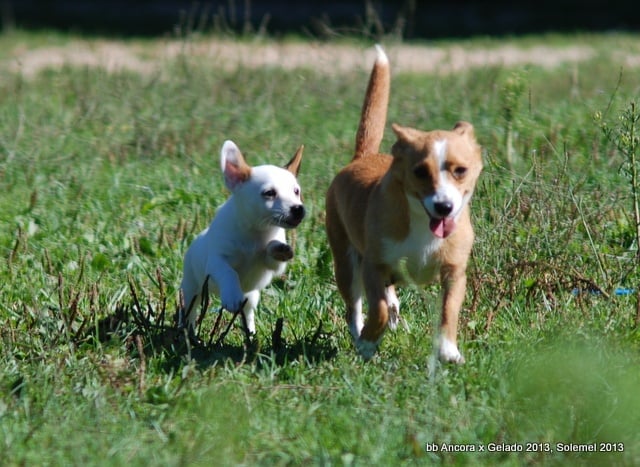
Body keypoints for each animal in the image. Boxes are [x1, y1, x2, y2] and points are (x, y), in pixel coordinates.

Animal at [176, 141, 304, 338]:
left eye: (296, 192)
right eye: (269, 193)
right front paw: (231, 295)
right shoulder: (217, 262)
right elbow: (229, 272)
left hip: (251, 297)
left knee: (248, 313)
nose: (298, 209)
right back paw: (186, 332)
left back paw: (250, 333)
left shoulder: (274, 266)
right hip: (191, 288)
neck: (255, 231)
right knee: (189, 311)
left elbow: (271, 250)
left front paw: (278, 248)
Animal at [328, 45, 482, 364]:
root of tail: (362, 157)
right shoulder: (373, 266)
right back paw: (361, 334)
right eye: (420, 172)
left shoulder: (454, 272)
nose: (444, 207)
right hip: (346, 263)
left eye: (460, 170)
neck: (422, 225)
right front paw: (368, 342)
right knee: (354, 307)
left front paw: (448, 351)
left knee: (389, 297)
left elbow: (449, 311)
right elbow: (377, 308)